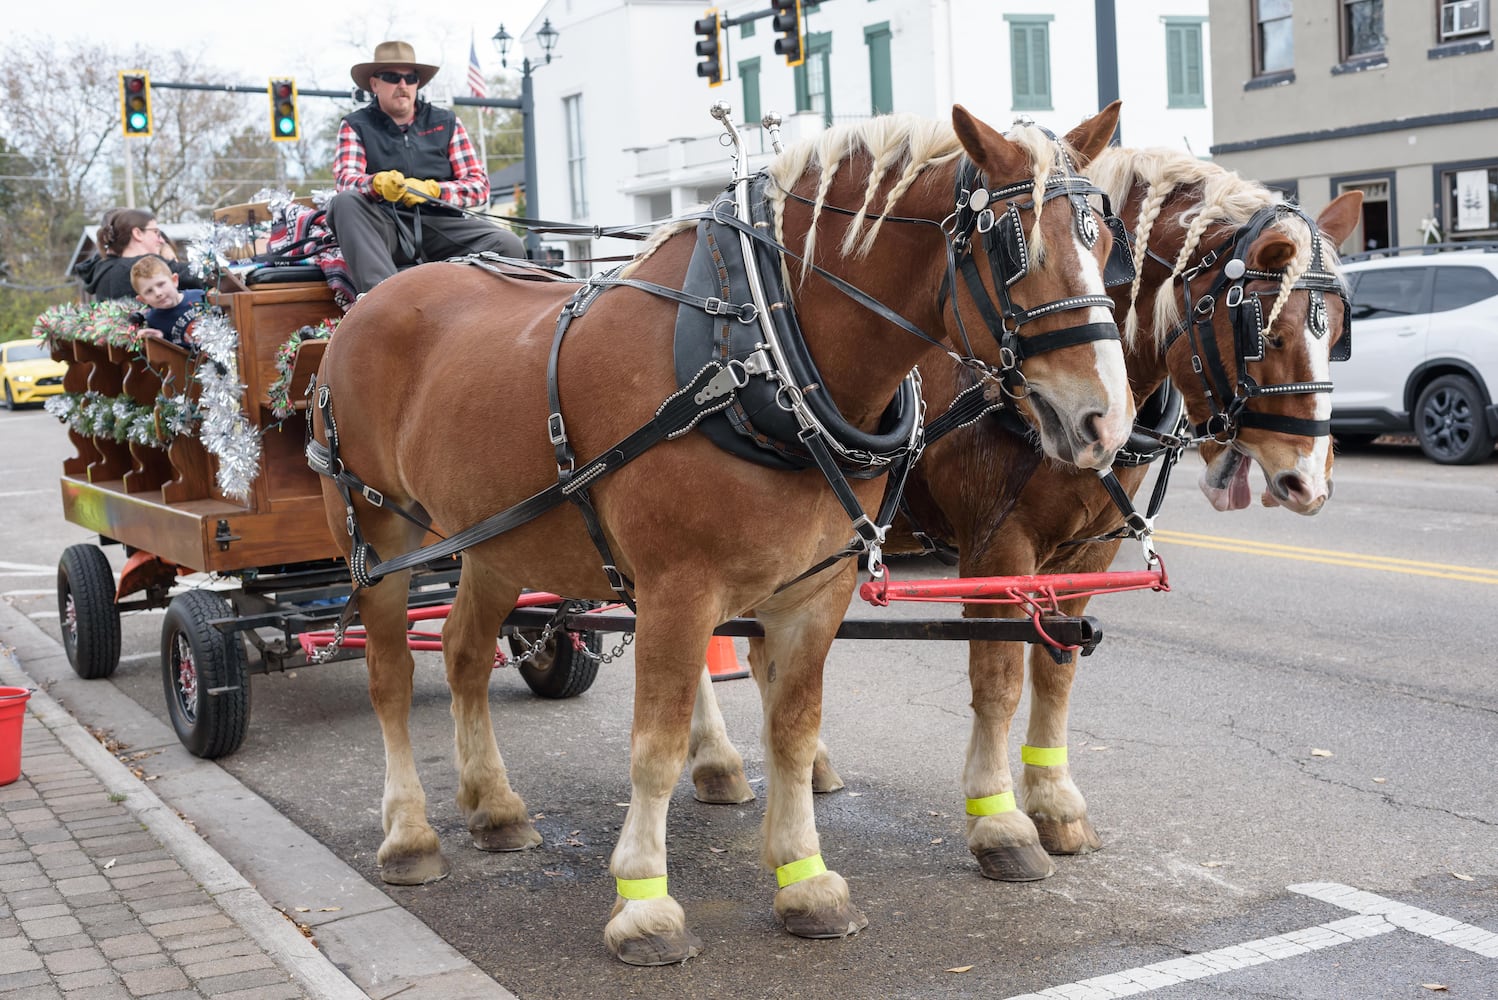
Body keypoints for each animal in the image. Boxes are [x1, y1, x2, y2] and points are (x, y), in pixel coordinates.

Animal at [316, 105, 1132, 964]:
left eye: (1109, 245)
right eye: (1014, 248)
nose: (1106, 421)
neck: (760, 353)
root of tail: (367, 305)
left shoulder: (816, 590)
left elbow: (794, 729)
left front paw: (806, 881)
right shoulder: (678, 589)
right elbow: (657, 744)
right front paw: (645, 904)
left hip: (495, 539)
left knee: (466, 654)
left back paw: (495, 806)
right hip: (378, 537)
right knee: (390, 676)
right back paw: (409, 834)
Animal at [686, 144, 1366, 880]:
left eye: (1339, 331)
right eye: (1264, 331)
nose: (1309, 481)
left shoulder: (1087, 552)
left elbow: (1057, 670)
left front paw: (1056, 802)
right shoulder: (997, 546)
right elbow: (999, 677)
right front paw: (1000, 822)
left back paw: (808, 764)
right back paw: (717, 760)